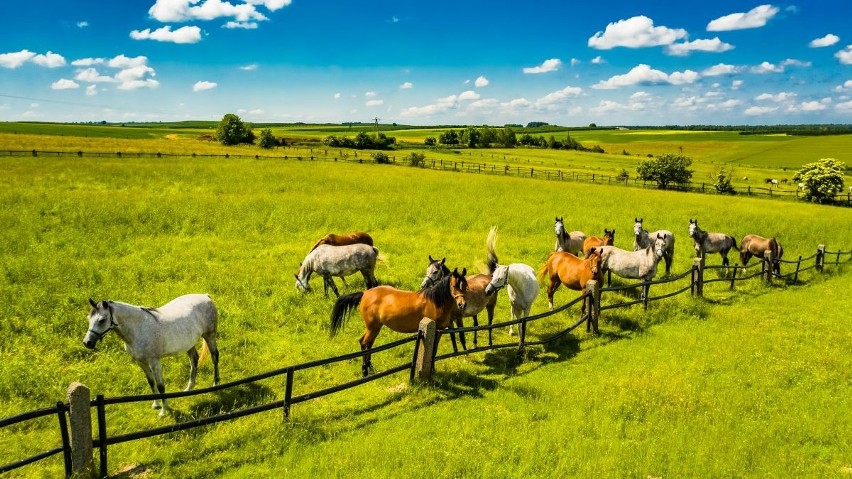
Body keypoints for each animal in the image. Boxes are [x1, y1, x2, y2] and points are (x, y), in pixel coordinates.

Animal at [83, 292, 220, 416]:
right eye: (89, 319)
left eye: (102, 320)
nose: (87, 342)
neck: (138, 329)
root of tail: (205, 296)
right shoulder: (141, 362)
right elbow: (151, 382)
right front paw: (156, 404)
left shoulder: (154, 362)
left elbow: (160, 386)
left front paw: (163, 411)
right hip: (189, 343)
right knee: (194, 360)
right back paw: (188, 388)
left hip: (209, 335)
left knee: (215, 357)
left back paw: (215, 384)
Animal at [332, 268, 466, 376]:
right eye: (454, 285)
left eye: (465, 285)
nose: (462, 304)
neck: (435, 301)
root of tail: (365, 293)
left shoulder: (439, 331)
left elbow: (434, 350)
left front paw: (433, 369)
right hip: (372, 327)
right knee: (364, 343)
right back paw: (364, 371)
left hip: (375, 327)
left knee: (368, 344)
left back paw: (370, 368)